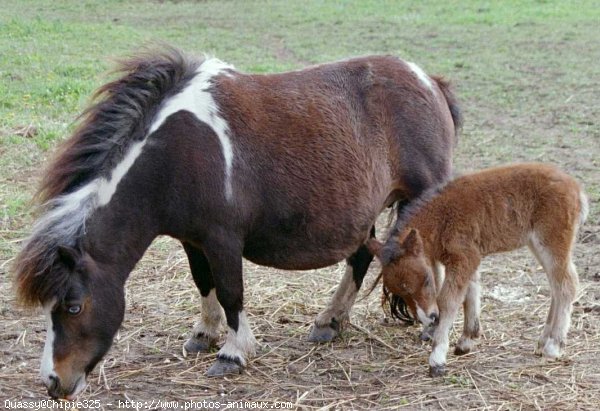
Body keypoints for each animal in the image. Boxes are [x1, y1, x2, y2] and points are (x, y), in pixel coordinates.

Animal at [14, 47, 462, 400]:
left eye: (74, 306)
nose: (54, 382)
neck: (176, 151)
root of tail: (430, 82)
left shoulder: (222, 239)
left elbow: (231, 292)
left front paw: (233, 352)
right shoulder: (192, 240)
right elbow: (204, 283)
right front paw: (204, 334)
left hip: (424, 197)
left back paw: (431, 328)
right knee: (360, 260)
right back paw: (329, 322)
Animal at [368, 163, 588, 378]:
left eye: (427, 280)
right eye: (400, 293)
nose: (429, 317)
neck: (441, 217)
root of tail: (576, 188)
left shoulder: (465, 257)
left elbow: (448, 300)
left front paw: (437, 359)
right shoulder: (469, 259)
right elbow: (470, 291)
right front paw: (467, 341)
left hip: (551, 242)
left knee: (567, 285)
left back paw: (553, 347)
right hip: (537, 244)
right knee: (556, 286)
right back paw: (542, 342)